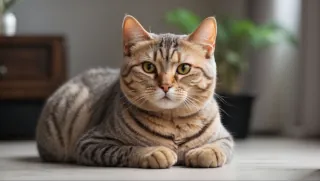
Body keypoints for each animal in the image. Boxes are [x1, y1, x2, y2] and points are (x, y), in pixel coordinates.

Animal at [36, 14, 234, 169]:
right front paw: (153, 152)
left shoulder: (225, 137)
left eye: (183, 68)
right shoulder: (91, 141)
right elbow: (126, 148)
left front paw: (206, 152)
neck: (173, 123)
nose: (165, 86)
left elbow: (220, 146)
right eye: (148, 67)